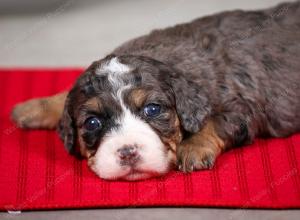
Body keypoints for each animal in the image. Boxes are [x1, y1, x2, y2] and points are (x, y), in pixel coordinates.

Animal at [11, 2, 300, 180]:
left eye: (152, 109)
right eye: (92, 122)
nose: (128, 152)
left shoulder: (242, 106)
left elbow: (216, 121)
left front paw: (193, 148)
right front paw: (35, 107)